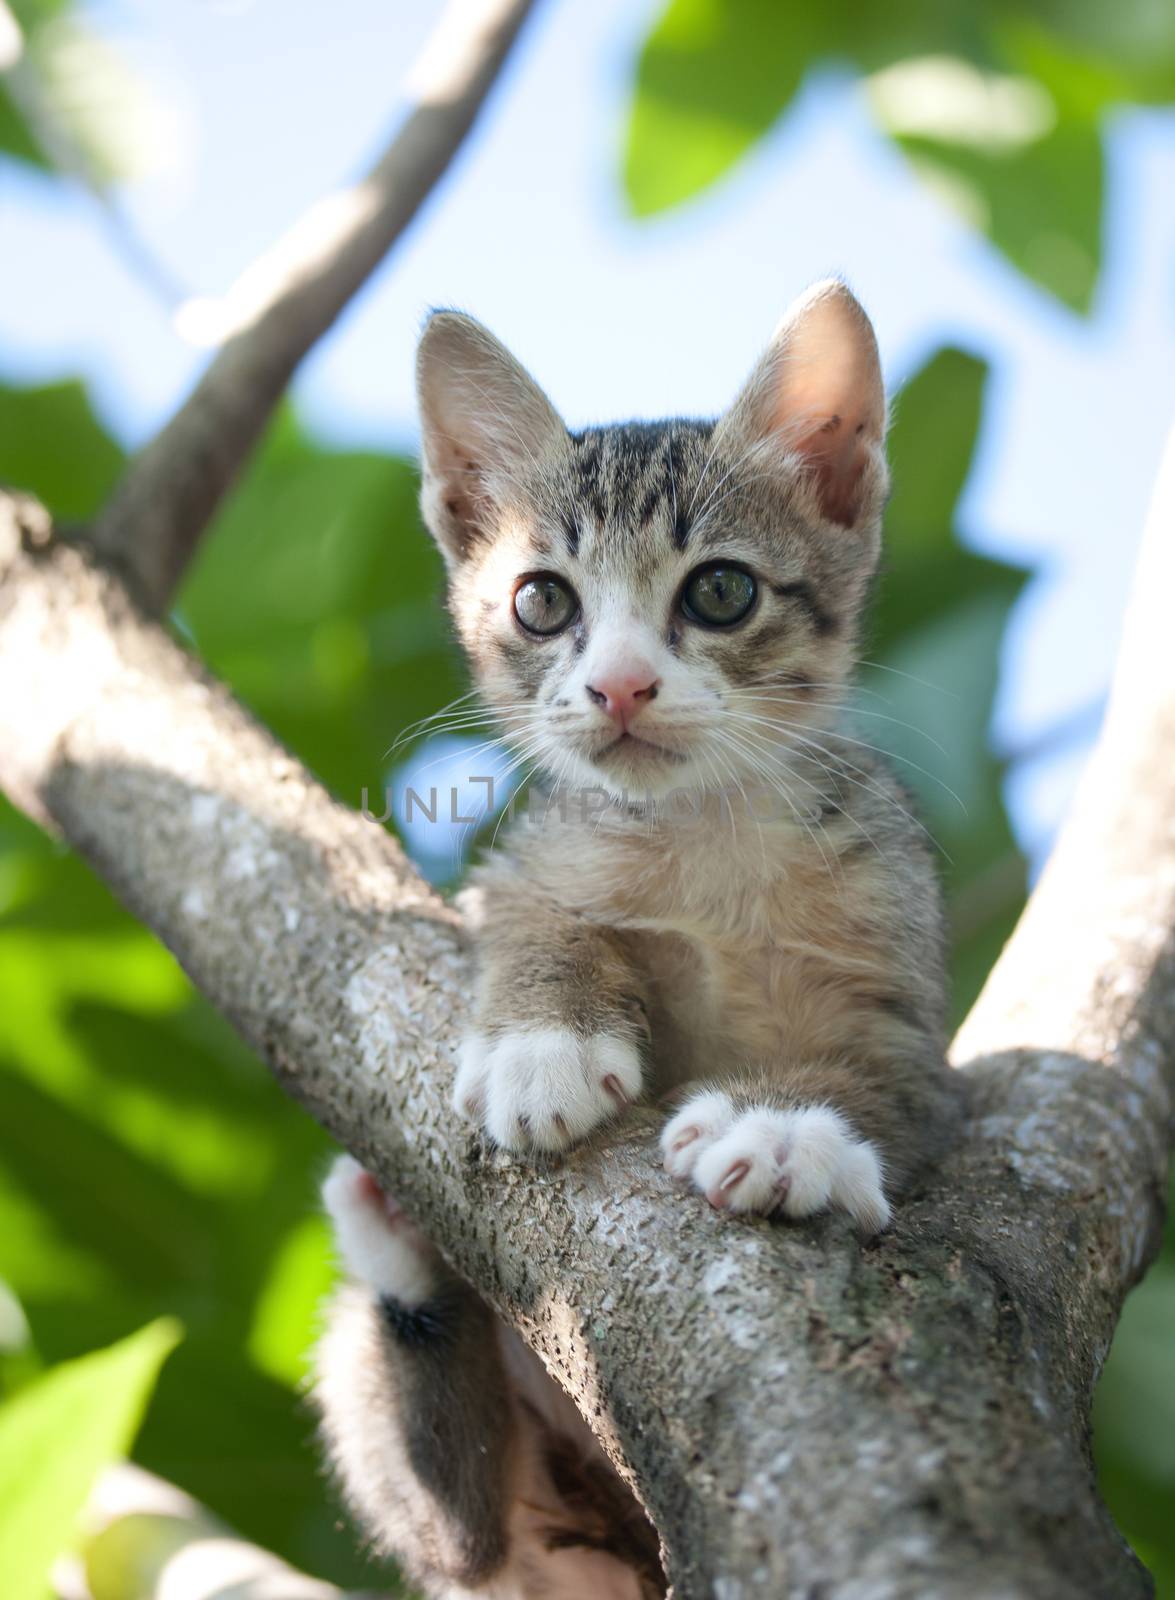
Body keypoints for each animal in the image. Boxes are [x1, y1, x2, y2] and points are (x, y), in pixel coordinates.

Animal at [315, 281, 966, 1593]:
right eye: (542, 599)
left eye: (718, 591)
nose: (617, 686)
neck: (702, 839)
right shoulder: (520, 863)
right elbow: (538, 922)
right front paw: (543, 1043)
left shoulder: (907, 991)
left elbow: (878, 1076)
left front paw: (784, 1127)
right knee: (458, 1528)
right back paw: (398, 1247)